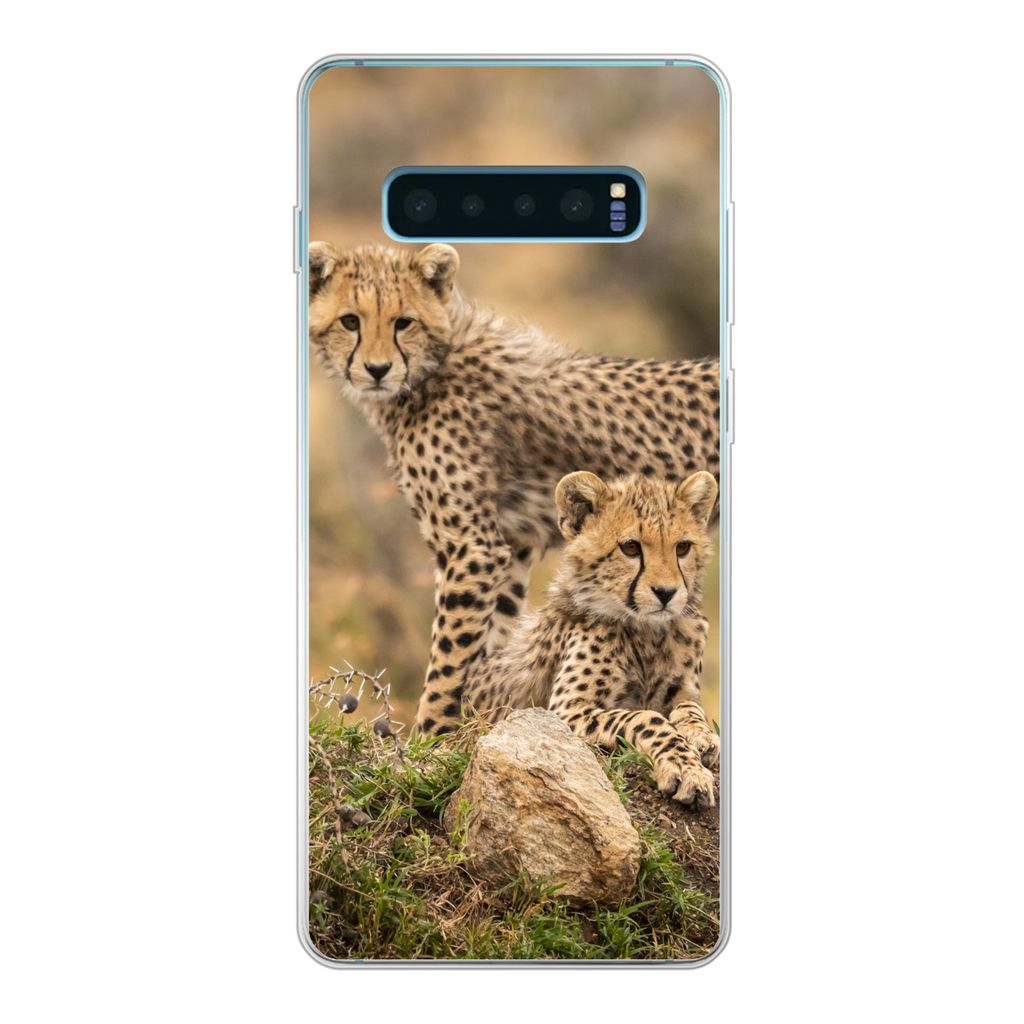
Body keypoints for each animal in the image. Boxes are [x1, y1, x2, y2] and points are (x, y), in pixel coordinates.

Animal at [308, 240, 721, 736]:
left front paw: (430, 739)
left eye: (403, 322)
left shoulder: (472, 546)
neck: (434, 365)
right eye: (350, 321)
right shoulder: (509, 543)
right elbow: (490, 642)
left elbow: (450, 656)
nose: (376, 369)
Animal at [462, 469, 719, 807]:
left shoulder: (681, 691)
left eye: (682, 547)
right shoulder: (563, 711)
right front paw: (684, 768)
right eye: (631, 548)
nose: (666, 593)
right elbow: (646, 718)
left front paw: (701, 735)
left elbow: (690, 707)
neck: (647, 632)